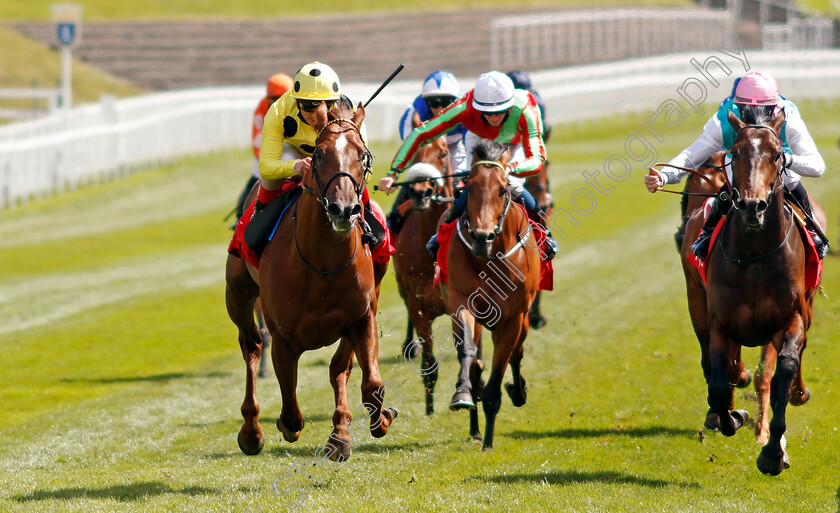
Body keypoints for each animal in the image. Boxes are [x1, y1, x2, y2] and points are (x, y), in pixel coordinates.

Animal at [226, 101, 398, 460]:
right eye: (318, 154)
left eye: (362, 154)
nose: (343, 209)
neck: (321, 265)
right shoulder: (283, 337)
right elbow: (291, 410)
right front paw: (283, 426)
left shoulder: (362, 316)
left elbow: (368, 382)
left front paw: (366, 424)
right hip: (237, 294)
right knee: (251, 346)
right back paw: (251, 430)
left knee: (338, 368)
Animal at [442, 140, 540, 448]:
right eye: (467, 187)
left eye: (503, 188)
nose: (480, 237)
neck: (490, 257)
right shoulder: (461, 302)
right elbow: (468, 351)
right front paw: (462, 394)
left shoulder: (513, 318)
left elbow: (500, 371)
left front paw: (489, 442)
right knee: (477, 362)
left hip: (521, 321)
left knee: (517, 355)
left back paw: (518, 393)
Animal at [684, 109, 820, 476]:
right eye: (737, 153)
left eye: (776, 155)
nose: (751, 206)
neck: (756, 254)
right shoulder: (720, 322)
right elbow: (719, 380)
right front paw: (732, 416)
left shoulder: (791, 318)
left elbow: (783, 367)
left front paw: (773, 452)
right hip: (695, 300)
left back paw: (797, 393)